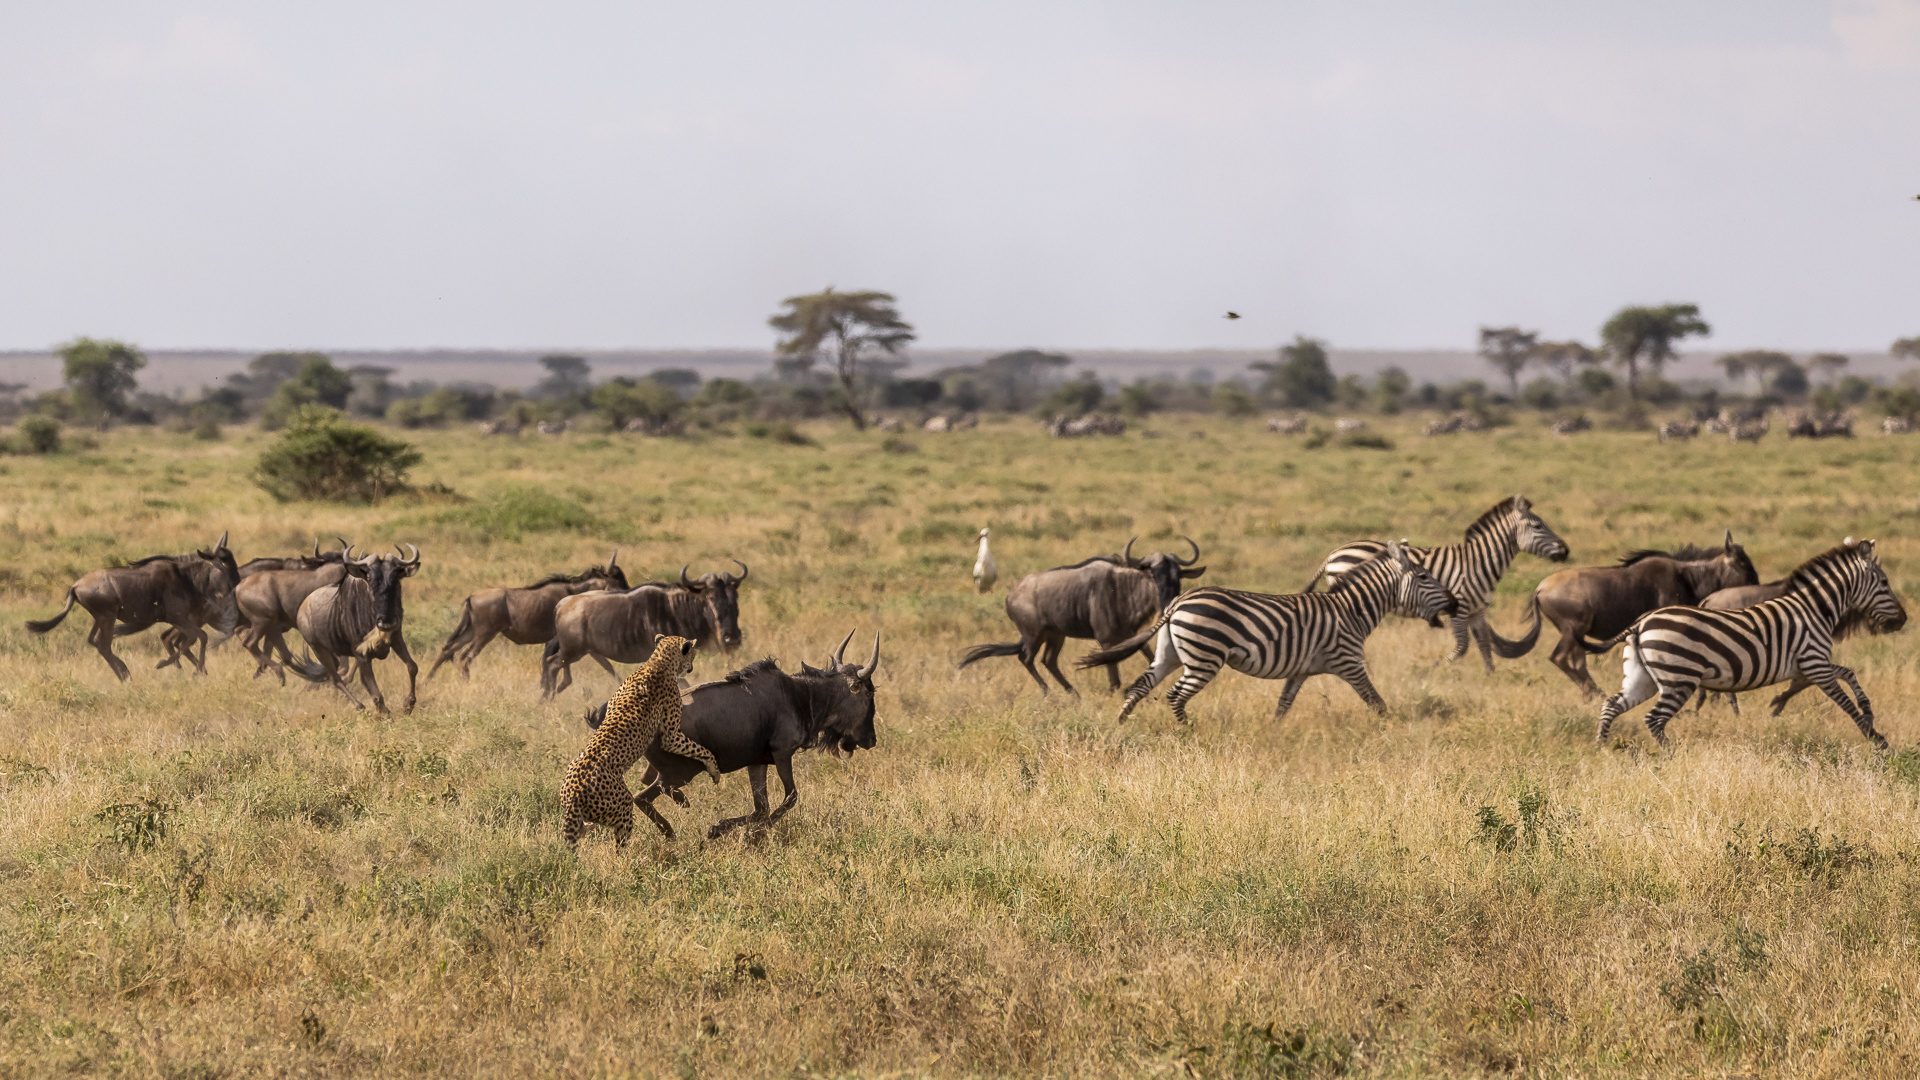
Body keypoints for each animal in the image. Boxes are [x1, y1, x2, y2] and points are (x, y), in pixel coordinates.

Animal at [564, 630, 721, 849]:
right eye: (694, 654)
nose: (691, 667)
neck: (658, 661)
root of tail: (573, 794)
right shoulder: (671, 736)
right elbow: (700, 749)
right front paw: (714, 768)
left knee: (583, 829)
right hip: (623, 806)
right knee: (620, 844)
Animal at [1082, 538, 1451, 722]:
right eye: (1424, 577)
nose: (1453, 601)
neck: (1352, 610)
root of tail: (1178, 602)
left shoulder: (1301, 670)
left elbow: (1283, 705)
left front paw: (1275, 732)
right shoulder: (1349, 662)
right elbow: (1375, 701)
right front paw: (1391, 729)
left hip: (1169, 653)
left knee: (1141, 685)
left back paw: (1120, 724)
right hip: (1204, 657)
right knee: (1176, 695)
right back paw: (1186, 732)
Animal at [1305, 495, 1574, 672]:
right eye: (1538, 526)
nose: (1565, 550)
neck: (1479, 561)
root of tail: (1333, 553)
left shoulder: (1477, 610)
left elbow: (1484, 646)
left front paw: (1491, 679)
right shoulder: (1460, 607)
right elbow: (1463, 647)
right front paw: (1434, 668)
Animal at [1589, 534, 1904, 745]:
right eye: (1885, 583)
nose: (1903, 619)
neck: (1815, 609)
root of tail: (1641, 622)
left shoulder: (1810, 665)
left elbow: (1848, 674)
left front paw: (1869, 713)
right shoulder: (1814, 663)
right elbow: (1844, 700)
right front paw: (1875, 737)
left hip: (1642, 676)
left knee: (1612, 705)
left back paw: (1603, 748)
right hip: (1679, 678)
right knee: (1654, 719)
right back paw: (1670, 756)